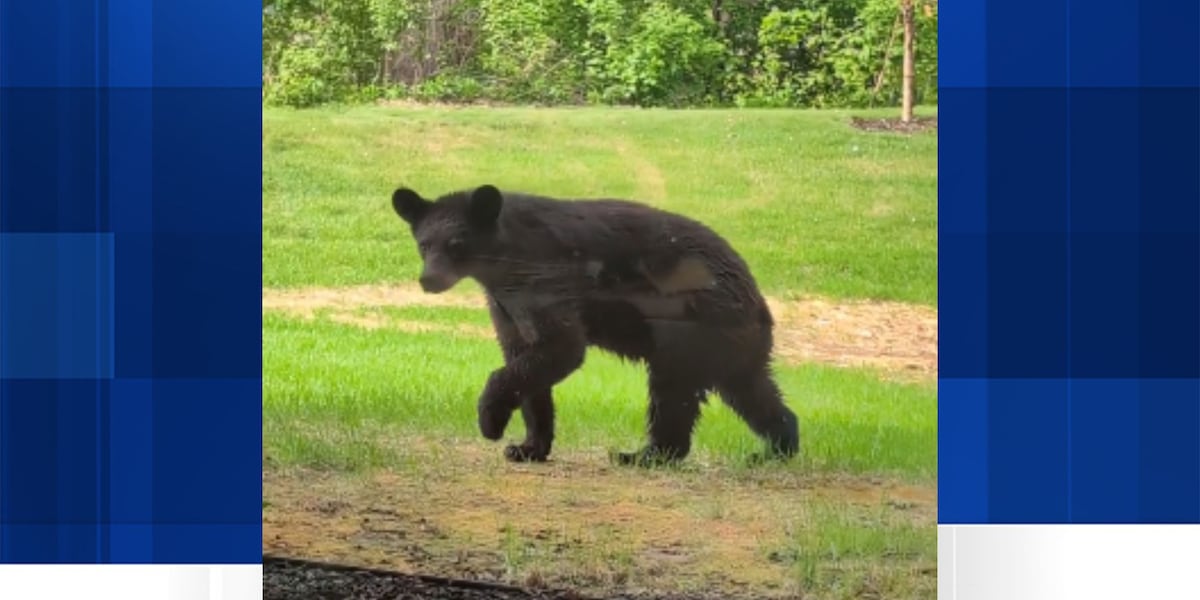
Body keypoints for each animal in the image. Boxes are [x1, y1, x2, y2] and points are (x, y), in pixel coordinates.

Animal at [391, 184, 800, 466]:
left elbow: (561, 347)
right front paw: (528, 447)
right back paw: (777, 447)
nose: (429, 280)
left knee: (672, 393)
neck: (502, 263)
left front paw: (491, 420)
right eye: (424, 243)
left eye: (456, 243)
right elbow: (527, 361)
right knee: (753, 392)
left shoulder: (542, 277)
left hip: (690, 324)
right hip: (730, 345)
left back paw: (644, 455)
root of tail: (756, 295)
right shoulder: (505, 305)